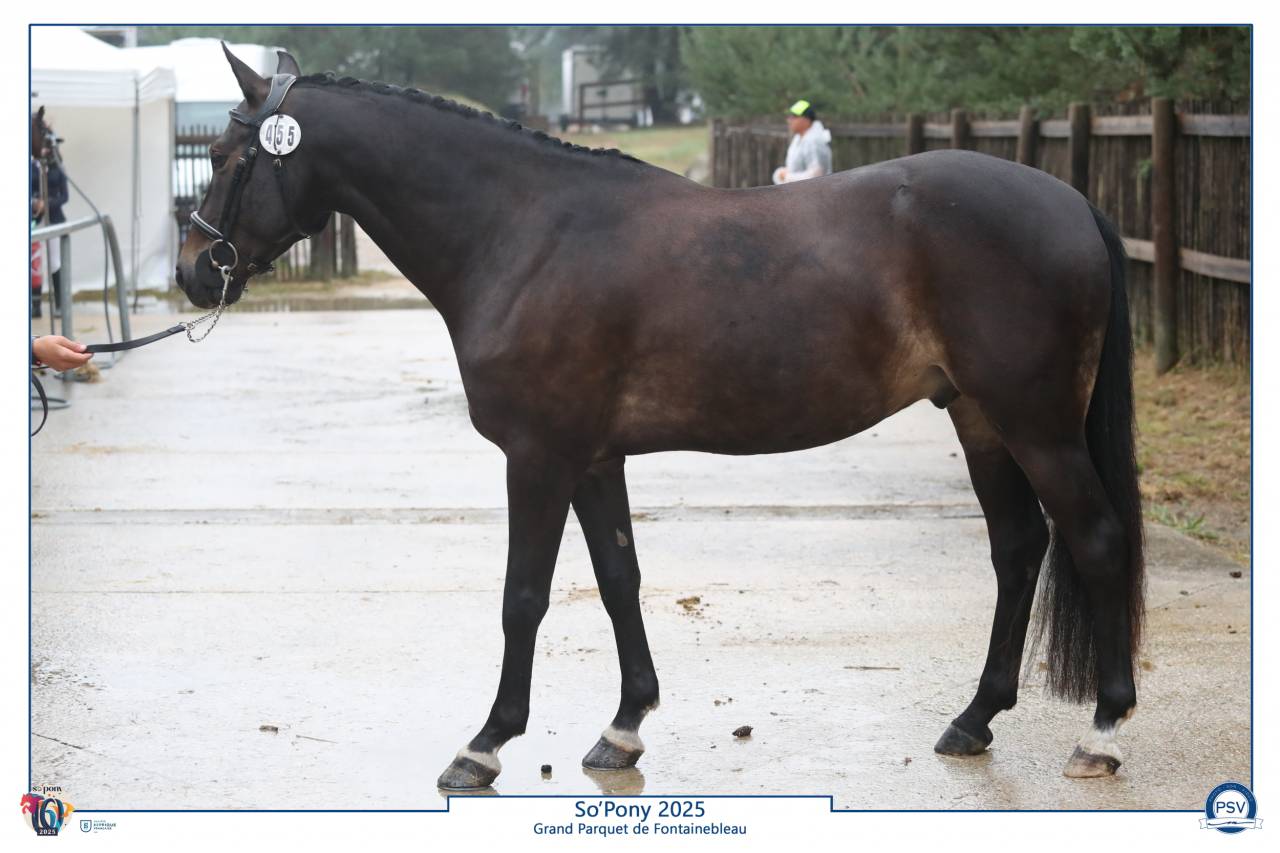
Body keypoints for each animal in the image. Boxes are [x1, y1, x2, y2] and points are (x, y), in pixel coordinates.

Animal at [176, 46, 1145, 791]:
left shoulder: (538, 457)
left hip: (1037, 424)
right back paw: (974, 718)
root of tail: (1073, 202)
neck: (525, 233)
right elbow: (618, 580)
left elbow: (523, 596)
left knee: (1093, 540)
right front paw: (624, 727)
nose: (191, 269)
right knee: (1019, 548)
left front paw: (485, 744)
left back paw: (1101, 733)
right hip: (980, 420)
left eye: (225, 156)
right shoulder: (594, 459)